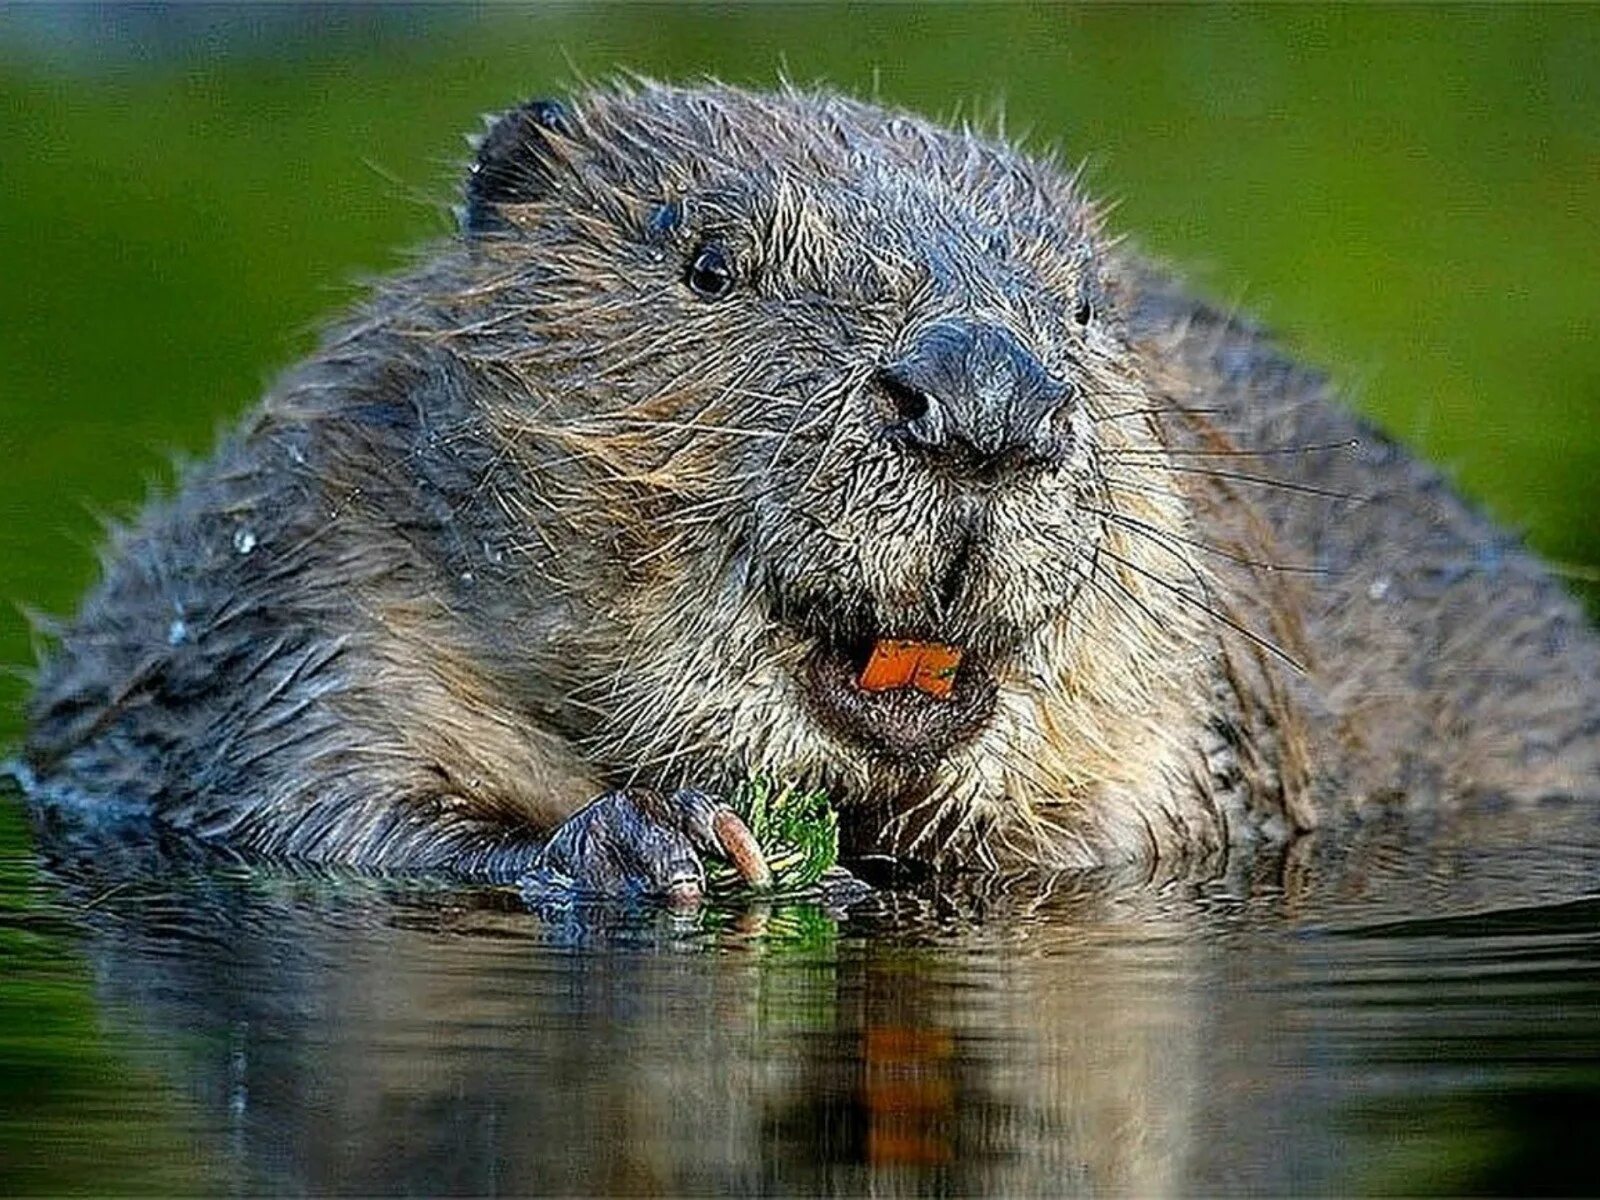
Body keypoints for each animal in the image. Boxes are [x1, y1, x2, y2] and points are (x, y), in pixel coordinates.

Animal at [21, 77, 1600, 902]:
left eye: (1086, 307)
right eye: (712, 260)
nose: (985, 400)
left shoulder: (1206, 680)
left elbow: (1132, 832)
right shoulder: (310, 585)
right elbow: (316, 810)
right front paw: (667, 838)